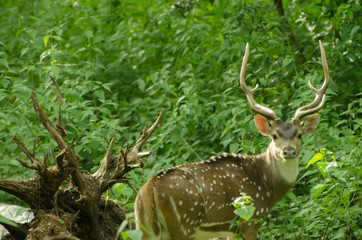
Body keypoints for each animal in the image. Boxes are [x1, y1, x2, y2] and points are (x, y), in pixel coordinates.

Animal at [134, 41, 330, 240]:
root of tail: (149, 187)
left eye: (299, 134)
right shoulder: (251, 219)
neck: (268, 187)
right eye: (275, 135)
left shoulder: (230, 230)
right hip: (183, 223)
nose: (288, 151)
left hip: (142, 224)